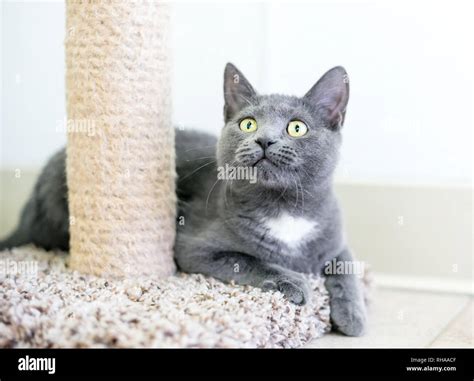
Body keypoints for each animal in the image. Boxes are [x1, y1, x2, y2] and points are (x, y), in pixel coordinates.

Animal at [0, 63, 366, 336]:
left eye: (297, 128)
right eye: (248, 124)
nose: (264, 140)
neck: (284, 208)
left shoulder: (335, 239)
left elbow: (347, 269)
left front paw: (353, 317)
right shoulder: (195, 247)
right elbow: (250, 260)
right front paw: (293, 281)